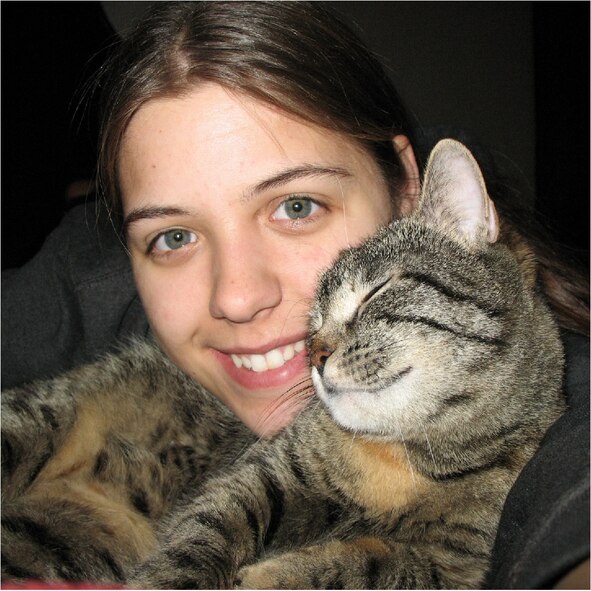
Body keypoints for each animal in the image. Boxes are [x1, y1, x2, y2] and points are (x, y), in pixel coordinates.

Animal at [1, 139, 564, 588]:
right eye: (311, 326)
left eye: (375, 292)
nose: (315, 355)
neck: (406, 458)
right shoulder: (261, 474)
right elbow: (204, 533)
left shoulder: (454, 565)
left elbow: (369, 564)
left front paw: (272, 573)